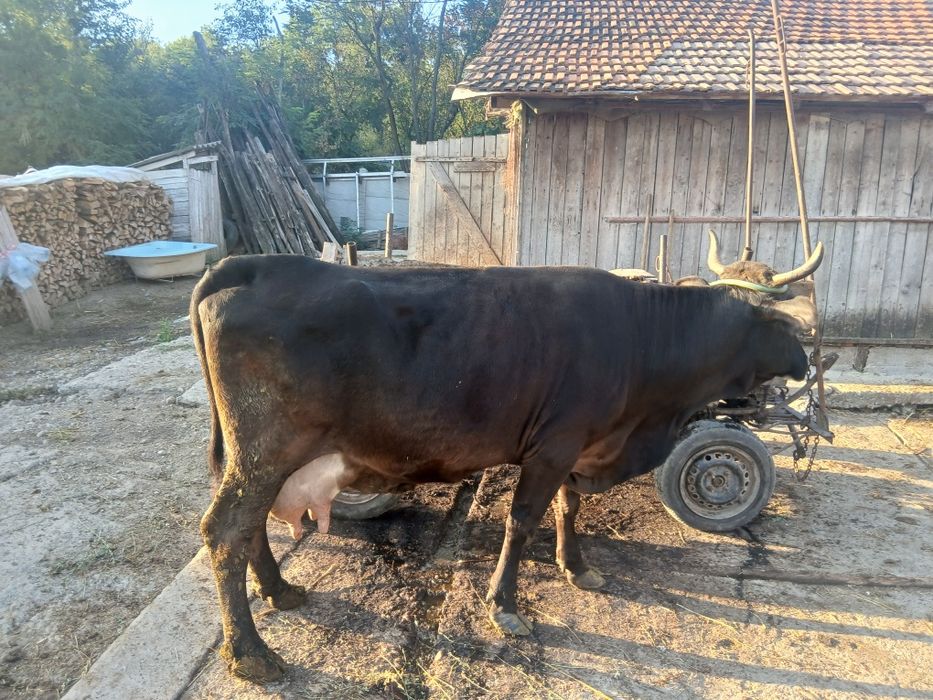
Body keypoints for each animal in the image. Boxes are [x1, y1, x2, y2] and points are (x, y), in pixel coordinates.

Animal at [190, 231, 824, 682]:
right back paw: (251, 655)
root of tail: (252, 264)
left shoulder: (577, 445)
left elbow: (569, 509)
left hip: (258, 458)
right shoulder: (553, 445)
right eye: (781, 320)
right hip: (266, 449)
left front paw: (577, 567)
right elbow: (522, 521)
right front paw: (504, 605)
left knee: (247, 527)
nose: (806, 363)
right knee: (226, 529)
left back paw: (279, 591)